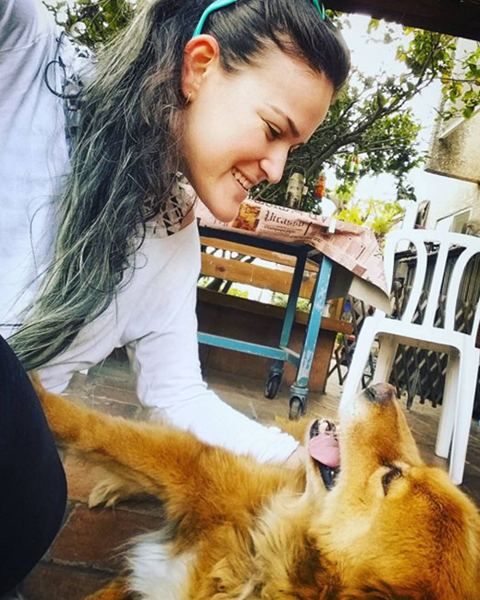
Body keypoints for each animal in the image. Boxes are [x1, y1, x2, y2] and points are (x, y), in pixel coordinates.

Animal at [34, 380, 480, 600]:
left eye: (391, 477)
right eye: (404, 472)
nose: (384, 387)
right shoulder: (202, 471)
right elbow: (95, 428)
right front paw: (34, 386)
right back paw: (111, 486)